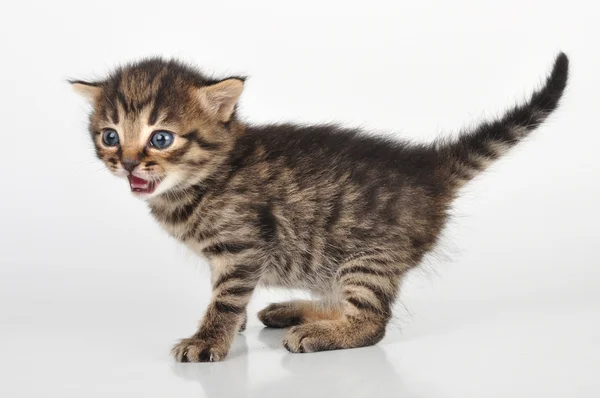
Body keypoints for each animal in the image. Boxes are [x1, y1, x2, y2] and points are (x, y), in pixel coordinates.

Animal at [69, 52, 568, 360]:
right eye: (110, 135)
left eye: (160, 138)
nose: (127, 161)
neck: (203, 180)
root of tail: (428, 168)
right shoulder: (227, 257)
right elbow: (223, 293)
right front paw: (234, 326)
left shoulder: (245, 247)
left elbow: (225, 298)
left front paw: (209, 338)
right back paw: (292, 311)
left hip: (368, 257)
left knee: (372, 321)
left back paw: (319, 333)